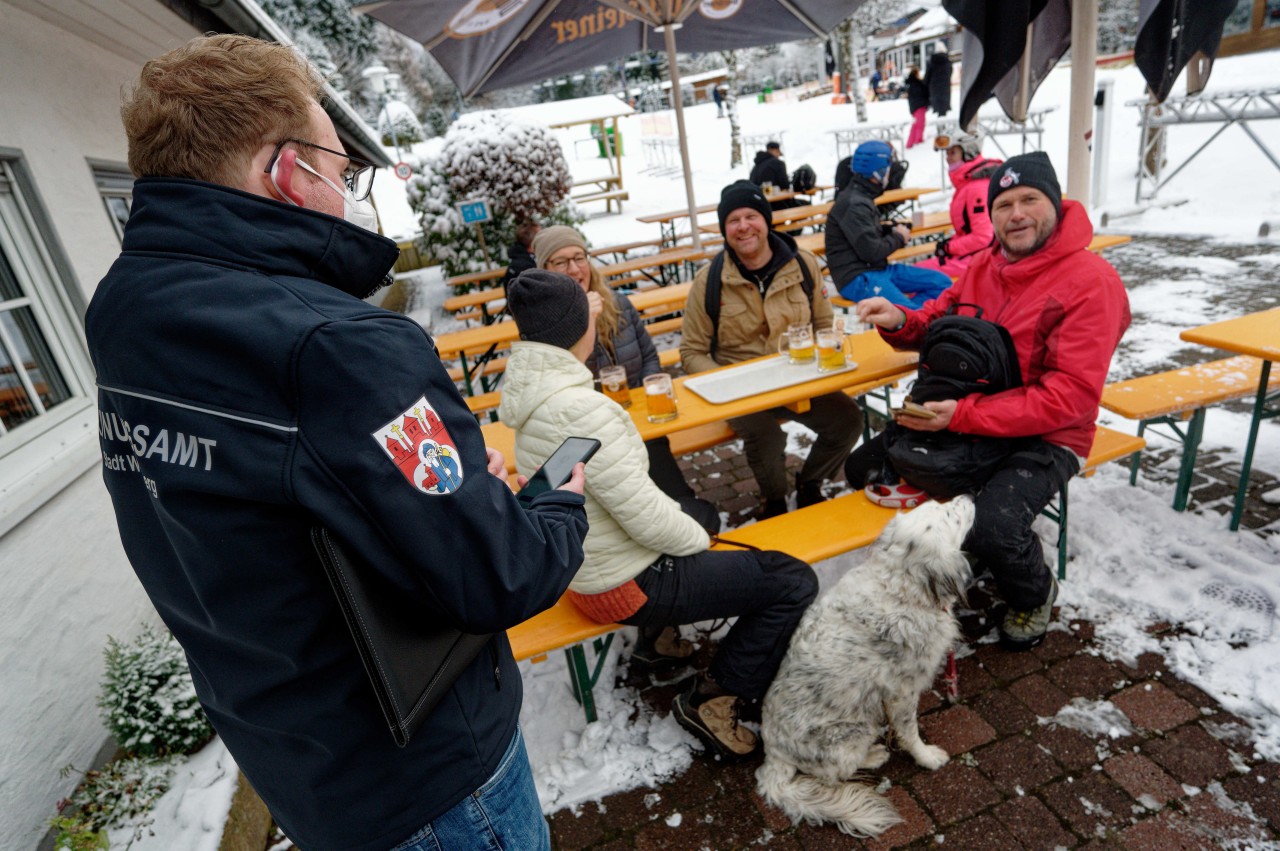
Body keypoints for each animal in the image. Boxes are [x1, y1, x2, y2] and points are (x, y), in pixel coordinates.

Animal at [752, 499, 972, 834]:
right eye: (950, 514)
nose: (968, 497)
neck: (900, 587)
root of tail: (773, 758)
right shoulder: (902, 692)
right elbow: (910, 732)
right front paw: (927, 757)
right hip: (855, 730)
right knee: (836, 773)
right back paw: (873, 755)